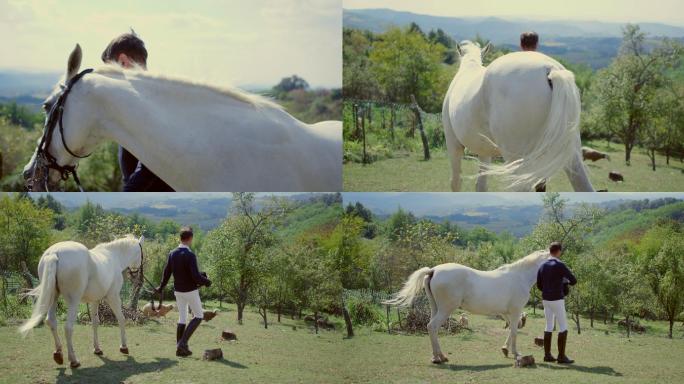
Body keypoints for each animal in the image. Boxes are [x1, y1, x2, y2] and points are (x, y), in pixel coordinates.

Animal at [19, 236, 144, 368]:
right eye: (141, 252)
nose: (135, 273)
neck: (114, 256)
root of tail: (54, 253)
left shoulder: (94, 300)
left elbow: (95, 322)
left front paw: (97, 349)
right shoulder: (113, 297)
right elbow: (121, 319)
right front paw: (124, 347)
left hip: (53, 297)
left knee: (51, 321)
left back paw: (58, 354)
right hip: (73, 302)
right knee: (68, 327)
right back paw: (73, 360)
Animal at [384, 250, 552, 364]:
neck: (520, 277)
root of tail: (433, 270)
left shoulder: (506, 313)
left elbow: (512, 328)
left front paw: (505, 349)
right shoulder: (515, 311)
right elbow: (515, 331)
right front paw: (516, 354)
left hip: (435, 308)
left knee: (432, 328)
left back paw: (437, 356)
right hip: (446, 309)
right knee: (432, 326)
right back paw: (439, 357)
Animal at [444, 41, 592, 191]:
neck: (469, 67)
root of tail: (550, 68)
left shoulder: (453, 143)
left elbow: (456, 182)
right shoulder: (484, 151)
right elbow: (481, 185)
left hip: (517, 158)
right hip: (571, 156)